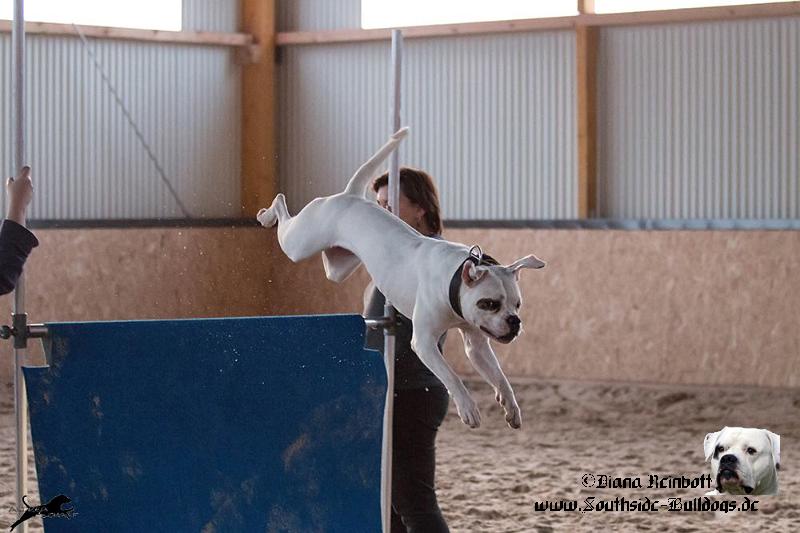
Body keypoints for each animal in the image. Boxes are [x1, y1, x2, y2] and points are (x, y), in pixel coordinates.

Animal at [260, 129, 548, 428]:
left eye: (517, 305)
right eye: (489, 303)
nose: (514, 322)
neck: (453, 281)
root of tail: (350, 196)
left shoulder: (477, 345)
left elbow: (500, 377)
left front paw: (511, 406)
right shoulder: (424, 342)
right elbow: (451, 376)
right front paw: (468, 407)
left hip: (338, 267)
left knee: (328, 262)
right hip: (299, 243)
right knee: (281, 208)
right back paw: (267, 214)